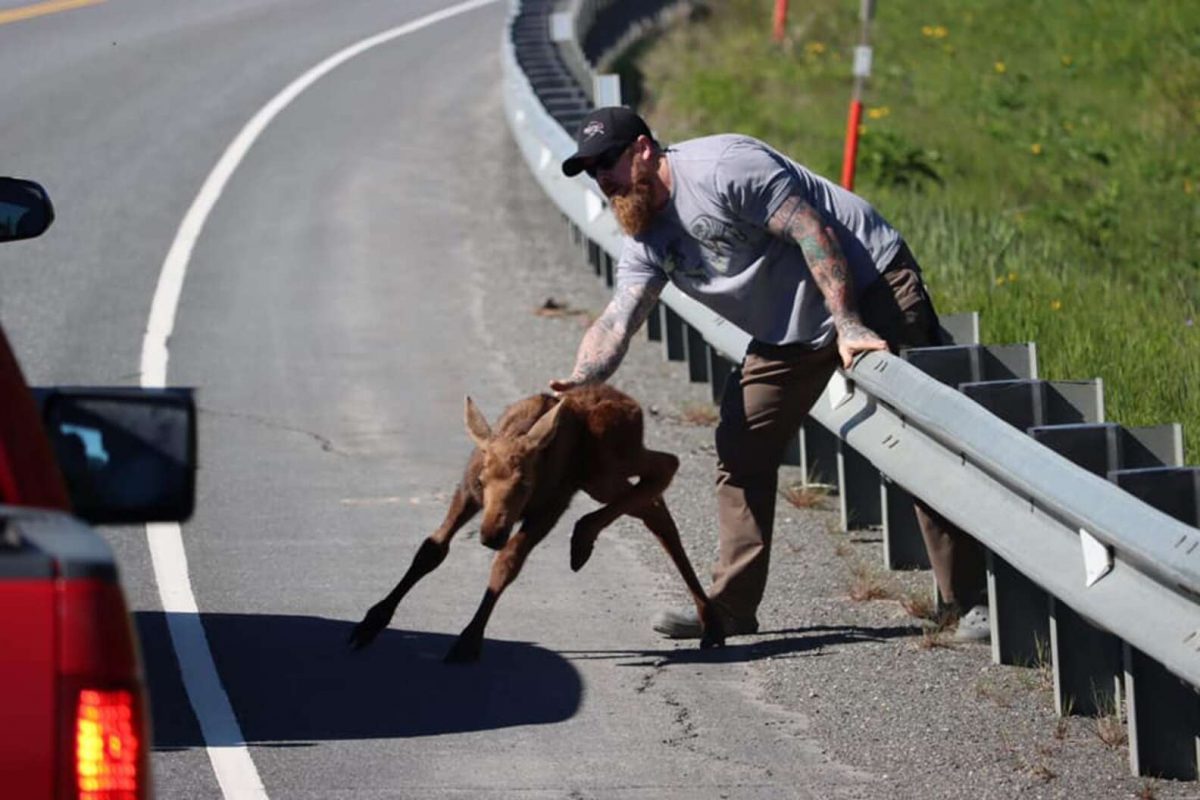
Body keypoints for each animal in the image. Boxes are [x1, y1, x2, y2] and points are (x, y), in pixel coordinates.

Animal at [348, 383, 720, 662]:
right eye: (482, 480)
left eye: (525, 483)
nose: (491, 534)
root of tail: (634, 404)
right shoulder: (467, 495)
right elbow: (431, 549)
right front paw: (371, 622)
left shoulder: (549, 508)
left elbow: (507, 564)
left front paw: (469, 639)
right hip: (603, 476)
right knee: (654, 504)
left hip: (603, 467)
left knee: (666, 467)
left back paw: (583, 537)